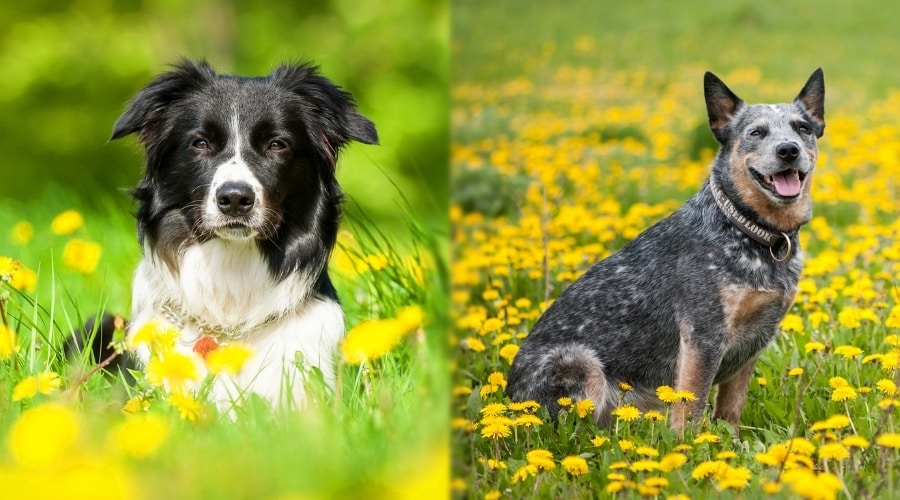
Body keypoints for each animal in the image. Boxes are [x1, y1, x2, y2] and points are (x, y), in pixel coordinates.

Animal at [502, 68, 828, 432]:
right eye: (757, 132)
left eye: (802, 128)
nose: (788, 149)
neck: (751, 231)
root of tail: (509, 401)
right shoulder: (703, 336)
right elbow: (691, 407)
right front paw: (689, 445)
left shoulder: (756, 338)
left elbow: (731, 409)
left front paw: (728, 440)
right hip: (583, 365)